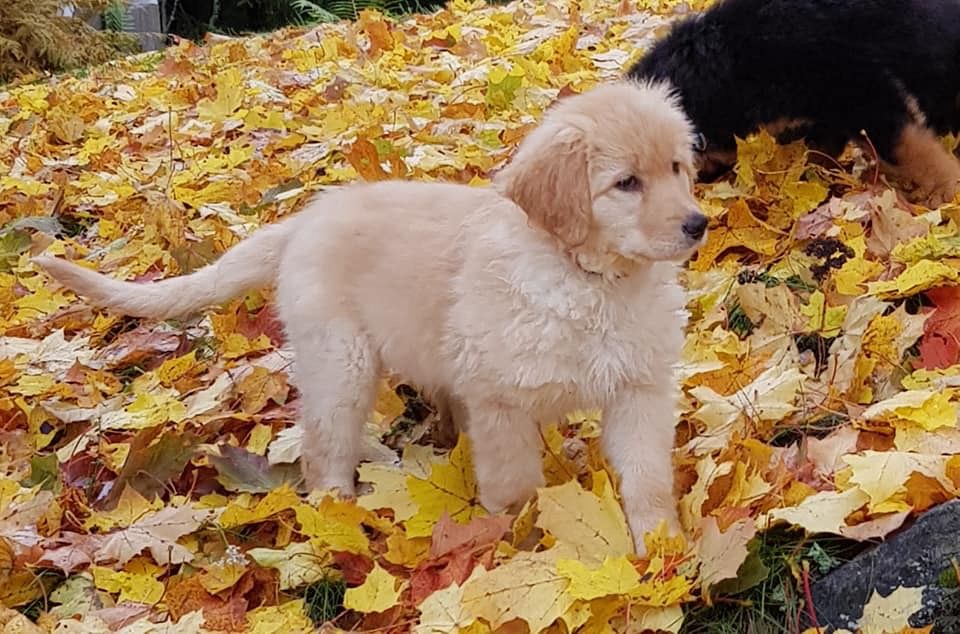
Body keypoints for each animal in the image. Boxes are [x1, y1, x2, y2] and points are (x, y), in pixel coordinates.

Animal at [34, 81, 706, 554]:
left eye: (677, 168)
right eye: (626, 184)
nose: (698, 224)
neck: (592, 281)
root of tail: (306, 219)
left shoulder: (640, 389)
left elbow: (648, 478)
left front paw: (662, 548)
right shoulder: (501, 404)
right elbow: (515, 490)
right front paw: (515, 547)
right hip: (341, 364)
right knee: (325, 448)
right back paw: (339, 513)